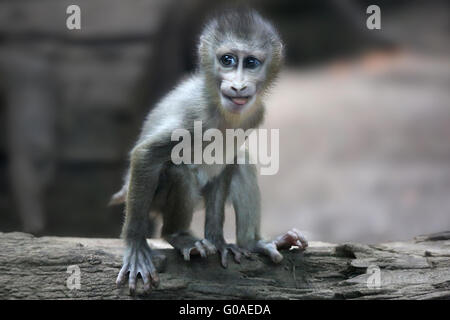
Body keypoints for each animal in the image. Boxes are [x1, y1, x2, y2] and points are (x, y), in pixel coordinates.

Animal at [112, 9, 310, 296]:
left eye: (251, 63)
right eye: (227, 60)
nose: (238, 87)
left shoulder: (254, 115)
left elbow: (228, 164)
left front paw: (219, 241)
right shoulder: (195, 115)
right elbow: (146, 155)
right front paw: (136, 247)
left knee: (242, 162)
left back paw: (253, 242)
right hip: (156, 201)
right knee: (178, 169)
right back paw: (178, 235)